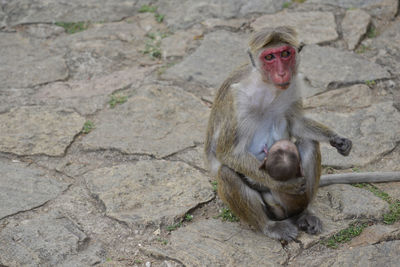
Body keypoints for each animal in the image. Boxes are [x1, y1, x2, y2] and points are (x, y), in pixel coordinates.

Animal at [203, 26, 354, 242]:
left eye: (285, 54)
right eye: (269, 57)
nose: (282, 73)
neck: (267, 86)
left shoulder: (294, 84)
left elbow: (297, 124)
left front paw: (337, 138)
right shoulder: (237, 99)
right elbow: (228, 153)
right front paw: (285, 185)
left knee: (309, 143)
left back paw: (303, 213)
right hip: (271, 206)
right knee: (227, 173)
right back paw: (269, 226)